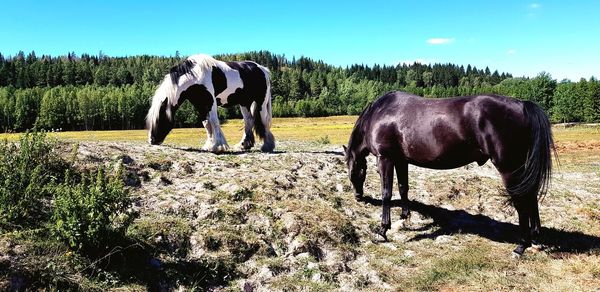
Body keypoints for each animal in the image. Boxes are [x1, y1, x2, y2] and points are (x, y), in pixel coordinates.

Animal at [145, 54, 276, 153]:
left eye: (159, 118)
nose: (152, 140)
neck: (196, 76)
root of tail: (263, 69)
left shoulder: (210, 101)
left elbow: (214, 121)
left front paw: (217, 146)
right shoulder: (199, 104)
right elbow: (206, 123)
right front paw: (209, 145)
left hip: (261, 102)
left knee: (264, 120)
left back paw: (267, 146)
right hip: (244, 102)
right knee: (249, 120)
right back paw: (244, 145)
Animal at [344, 90, 556, 256]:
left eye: (353, 170)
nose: (358, 196)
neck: (379, 113)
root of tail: (523, 105)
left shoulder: (385, 158)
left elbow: (387, 193)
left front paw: (383, 229)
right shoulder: (401, 160)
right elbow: (404, 187)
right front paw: (405, 216)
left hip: (510, 169)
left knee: (522, 201)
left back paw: (521, 245)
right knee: (531, 197)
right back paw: (535, 238)